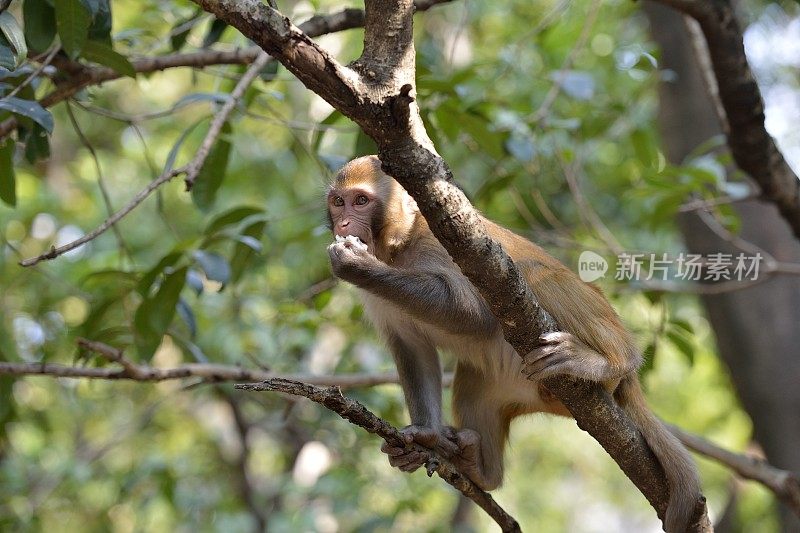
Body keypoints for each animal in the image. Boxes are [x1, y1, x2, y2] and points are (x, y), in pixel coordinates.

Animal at [324, 155, 700, 532]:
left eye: (361, 201)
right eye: (338, 201)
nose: (343, 223)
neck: (398, 249)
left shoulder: (438, 245)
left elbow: (471, 313)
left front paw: (356, 265)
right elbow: (412, 347)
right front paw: (424, 436)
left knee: (535, 274)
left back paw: (608, 362)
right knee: (474, 386)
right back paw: (481, 468)